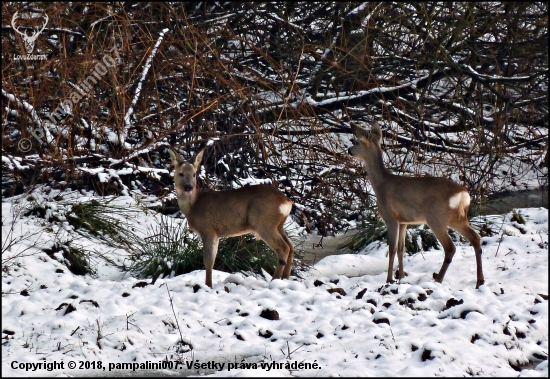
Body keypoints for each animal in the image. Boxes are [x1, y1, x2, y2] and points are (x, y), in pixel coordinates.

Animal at [169, 148, 296, 288]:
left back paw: (275, 280)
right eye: (181, 173)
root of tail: (286, 202)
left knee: (283, 248)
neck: (194, 206)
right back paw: (285, 279)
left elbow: (208, 260)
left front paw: (208, 286)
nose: (189, 187)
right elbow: (213, 259)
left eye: (193, 175)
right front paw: (209, 285)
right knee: (291, 246)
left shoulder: (208, 229)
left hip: (264, 223)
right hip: (278, 224)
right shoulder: (216, 234)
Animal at [352, 120, 486, 290]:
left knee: (450, 247)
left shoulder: (391, 217)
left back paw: (438, 279)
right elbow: (401, 248)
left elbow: (392, 248)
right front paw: (401, 277)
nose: (349, 151)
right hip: (457, 218)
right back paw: (479, 281)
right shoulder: (403, 221)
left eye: (356, 142)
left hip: (436, 218)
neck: (381, 184)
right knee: (475, 237)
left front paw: (389, 280)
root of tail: (462, 193)